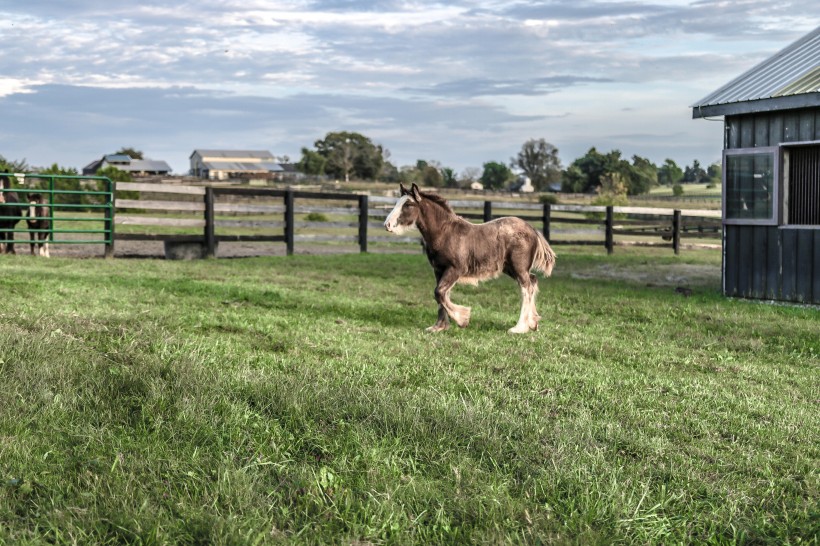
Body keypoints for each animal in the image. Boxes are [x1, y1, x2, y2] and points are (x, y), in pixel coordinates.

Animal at [386, 183, 556, 332]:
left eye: (408, 204)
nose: (387, 224)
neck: (445, 233)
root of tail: (533, 230)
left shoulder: (456, 269)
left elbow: (439, 293)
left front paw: (462, 319)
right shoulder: (439, 270)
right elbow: (440, 295)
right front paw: (438, 327)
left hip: (519, 268)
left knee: (526, 288)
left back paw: (519, 328)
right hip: (511, 269)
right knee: (533, 281)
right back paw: (533, 323)